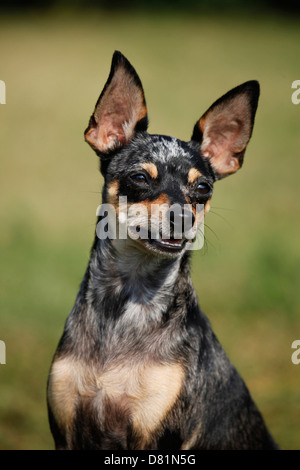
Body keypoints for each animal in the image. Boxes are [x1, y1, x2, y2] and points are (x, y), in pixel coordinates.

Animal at [46, 51, 278, 452]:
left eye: (202, 189)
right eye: (140, 178)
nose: (184, 216)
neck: (126, 302)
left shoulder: (158, 435)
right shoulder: (66, 431)